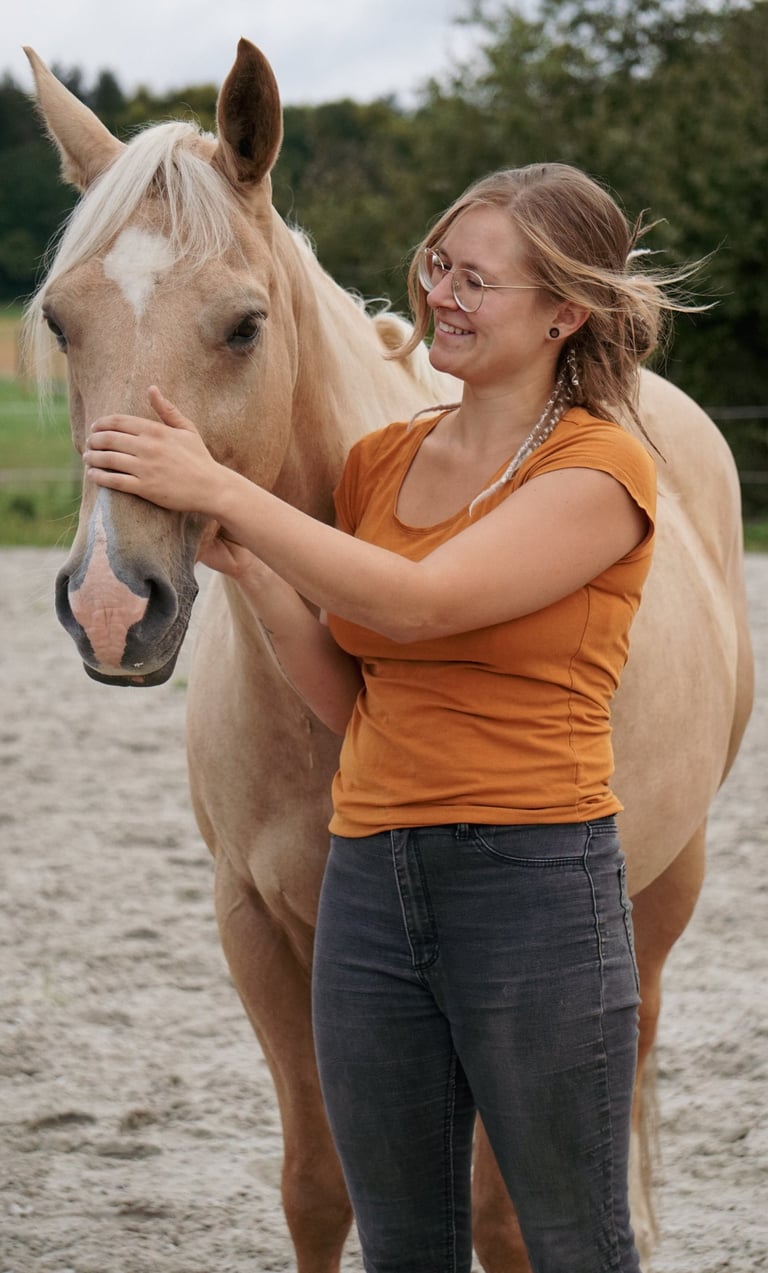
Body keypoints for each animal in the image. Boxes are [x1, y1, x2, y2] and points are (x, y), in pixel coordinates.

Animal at [23, 38, 753, 1273]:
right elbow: (321, 1189)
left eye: (243, 325)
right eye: (64, 323)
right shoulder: (261, 933)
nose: (115, 605)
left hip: (667, 884)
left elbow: (503, 1217)